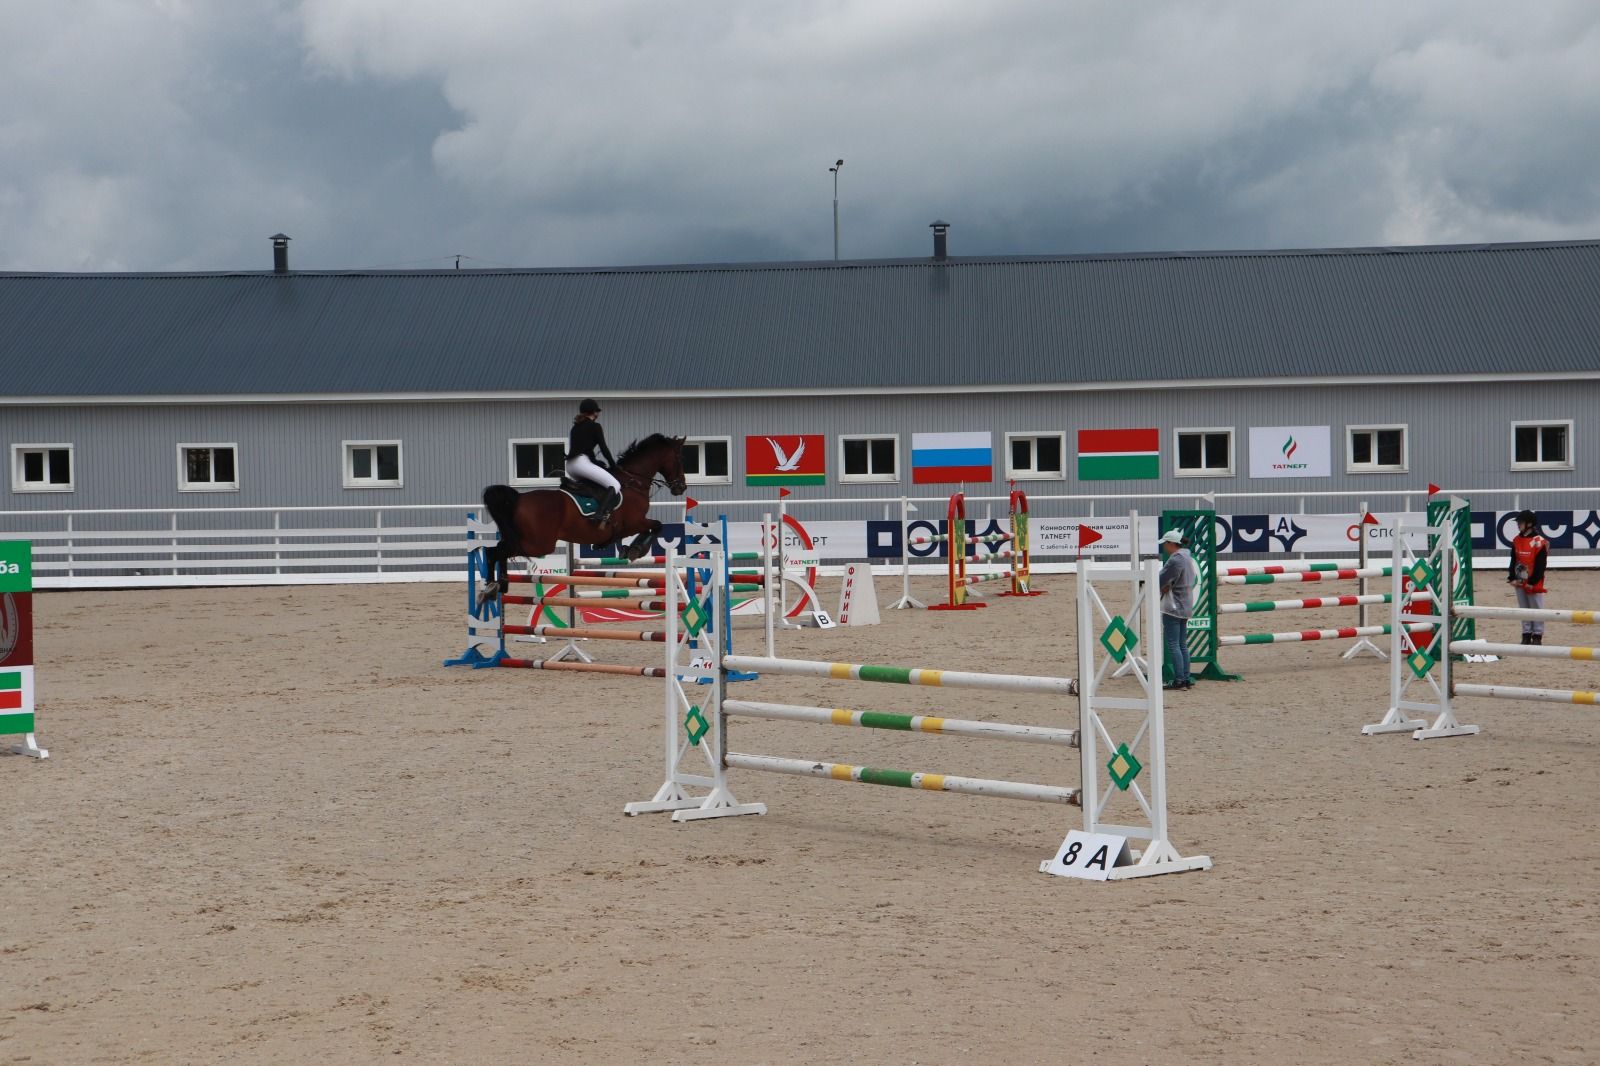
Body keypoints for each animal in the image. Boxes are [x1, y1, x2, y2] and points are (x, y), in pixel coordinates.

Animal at [473, 428, 688, 601]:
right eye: (679, 458)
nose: (681, 487)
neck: (633, 480)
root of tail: (519, 498)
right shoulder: (634, 522)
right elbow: (657, 526)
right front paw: (637, 550)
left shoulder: (635, 523)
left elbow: (652, 528)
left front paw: (630, 549)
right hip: (538, 544)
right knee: (495, 551)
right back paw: (493, 586)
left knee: (497, 550)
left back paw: (497, 586)